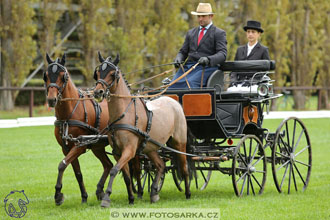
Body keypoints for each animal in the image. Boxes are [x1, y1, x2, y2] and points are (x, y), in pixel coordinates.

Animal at [93, 52, 191, 207]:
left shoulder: (129, 150)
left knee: (185, 167)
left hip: (179, 142)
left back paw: (187, 193)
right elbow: (126, 176)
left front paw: (106, 198)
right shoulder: (117, 152)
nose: (98, 92)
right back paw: (154, 193)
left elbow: (114, 170)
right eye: (97, 73)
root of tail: (174, 102)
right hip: (151, 147)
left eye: (112, 73)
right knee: (160, 165)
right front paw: (131, 198)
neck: (124, 114)